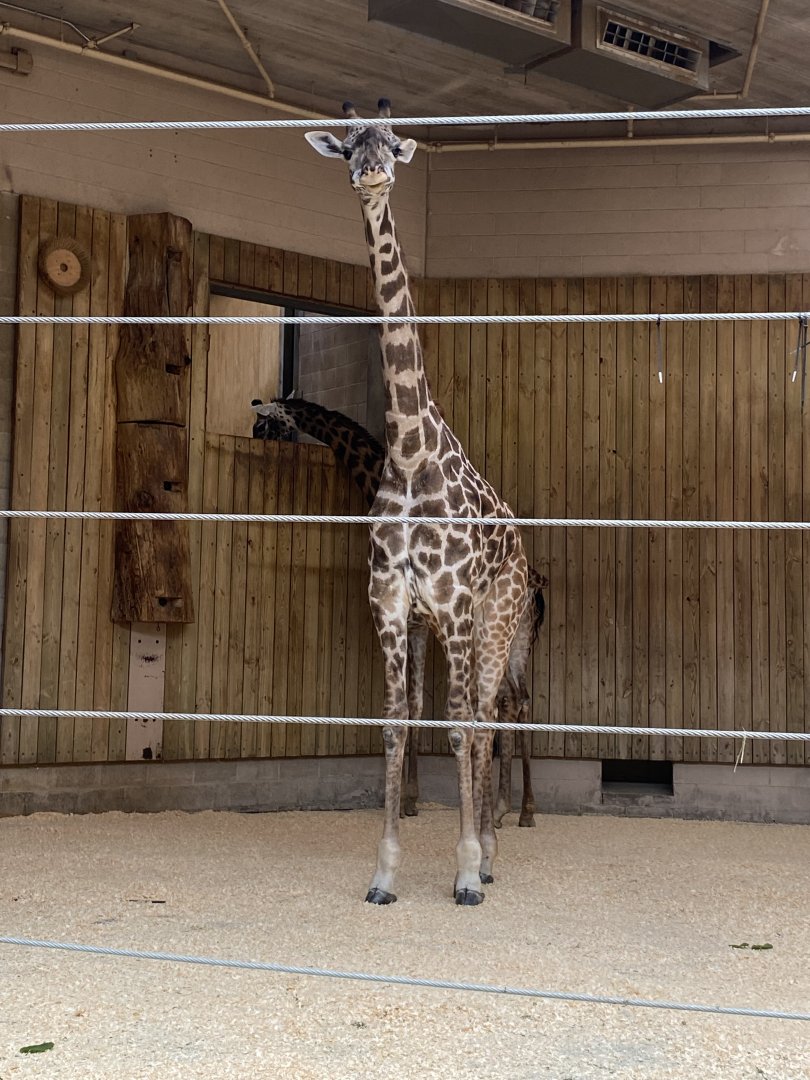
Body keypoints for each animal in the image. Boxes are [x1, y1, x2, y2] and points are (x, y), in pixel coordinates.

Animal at [251, 394, 547, 825]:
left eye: (263, 427)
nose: (259, 443)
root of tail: (536, 587)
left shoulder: (413, 619)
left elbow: (413, 702)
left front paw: (407, 800)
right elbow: (418, 702)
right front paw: (411, 797)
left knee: (504, 699)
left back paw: (500, 808)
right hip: (519, 639)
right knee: (517, 698)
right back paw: (518, 808)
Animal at [306, 99, 529, 904]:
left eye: (392, 144)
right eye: (348, 147)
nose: (370, 174)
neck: (409, 449)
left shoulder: (458, 601)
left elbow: (460, 727)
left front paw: (463, 871)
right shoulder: (393, 600)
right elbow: (398, 722)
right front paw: (383, 873)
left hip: (496, 623)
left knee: (488, 716)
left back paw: (489, 857)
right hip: (442, 627)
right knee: (468, 716)